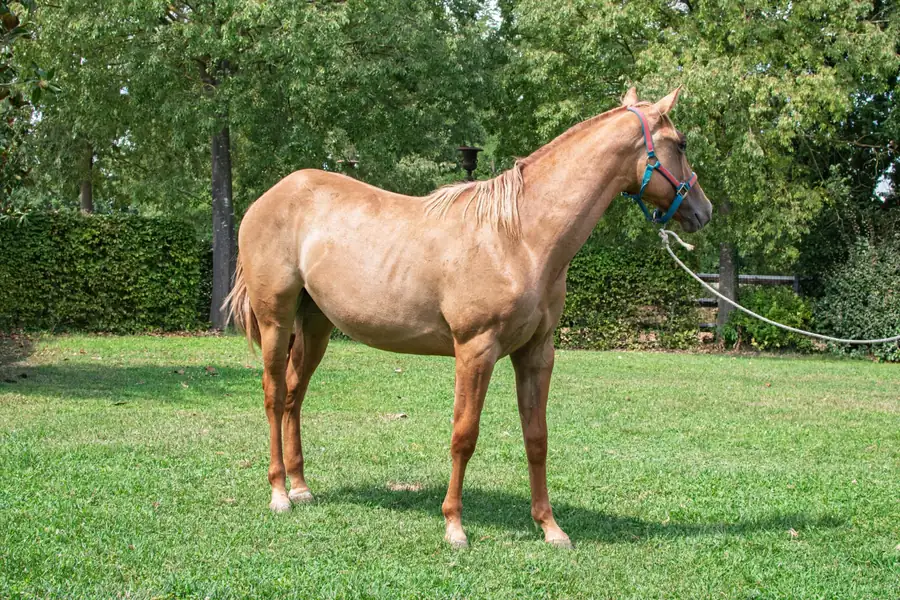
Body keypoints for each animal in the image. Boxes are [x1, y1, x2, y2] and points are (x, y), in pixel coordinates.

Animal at [223, 87, 712, 548]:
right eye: (681, 143)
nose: (703, 211)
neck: (519, 237)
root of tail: (271, 197)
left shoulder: (537, 352)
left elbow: (537, 439)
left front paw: (550, 527)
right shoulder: (475, 350)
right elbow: (464, 435)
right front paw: (454, 526)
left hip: (316, 326)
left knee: (294, 396)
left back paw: (301, 487)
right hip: (276, 319)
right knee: (273, 395)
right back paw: (280, 494)